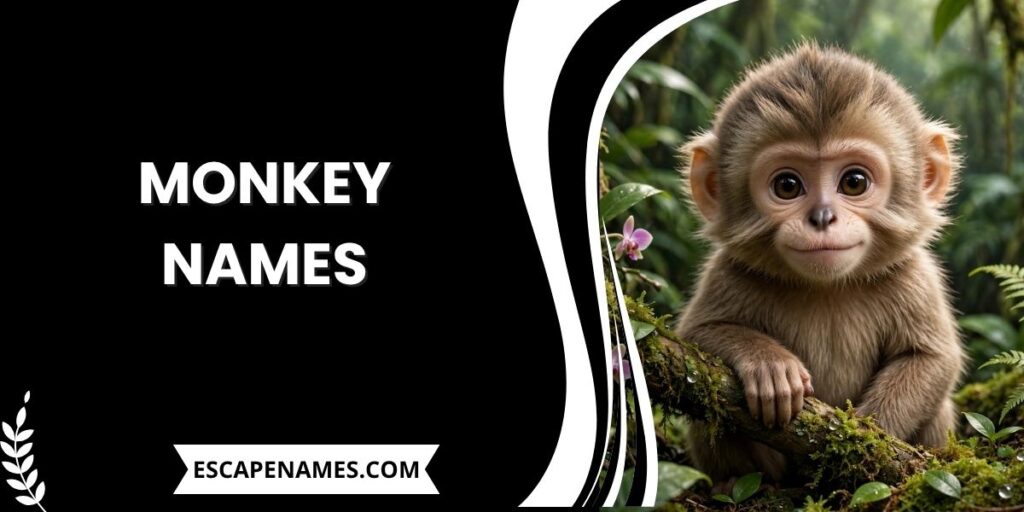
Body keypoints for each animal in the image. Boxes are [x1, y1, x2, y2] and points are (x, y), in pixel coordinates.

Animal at [675, 43, 965, 483]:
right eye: (787, 185)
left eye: (854, 182)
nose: (823, 218)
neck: (826, 287)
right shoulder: (728, 271)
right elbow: (695, 334)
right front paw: (770, 366)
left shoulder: (915, 277)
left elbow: (934, 358)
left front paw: (870, 437)